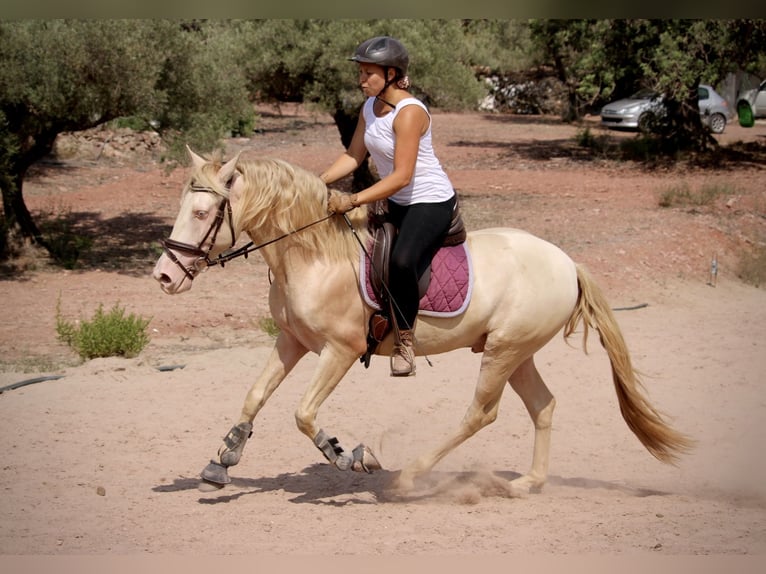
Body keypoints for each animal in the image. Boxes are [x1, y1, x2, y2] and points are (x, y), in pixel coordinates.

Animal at [153, 148, 692, 496]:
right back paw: (526, 484)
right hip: (516, 352)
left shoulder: (340, 350)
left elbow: (303, 413)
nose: (163, 275)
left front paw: (347, 454)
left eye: (201, 212)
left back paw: (409, 477)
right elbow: (254, 396)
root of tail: (567, 262)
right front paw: (223, 460)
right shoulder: (292, 341)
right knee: (543, 406)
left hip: (504, 352)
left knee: (481, 414)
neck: (314, 256)